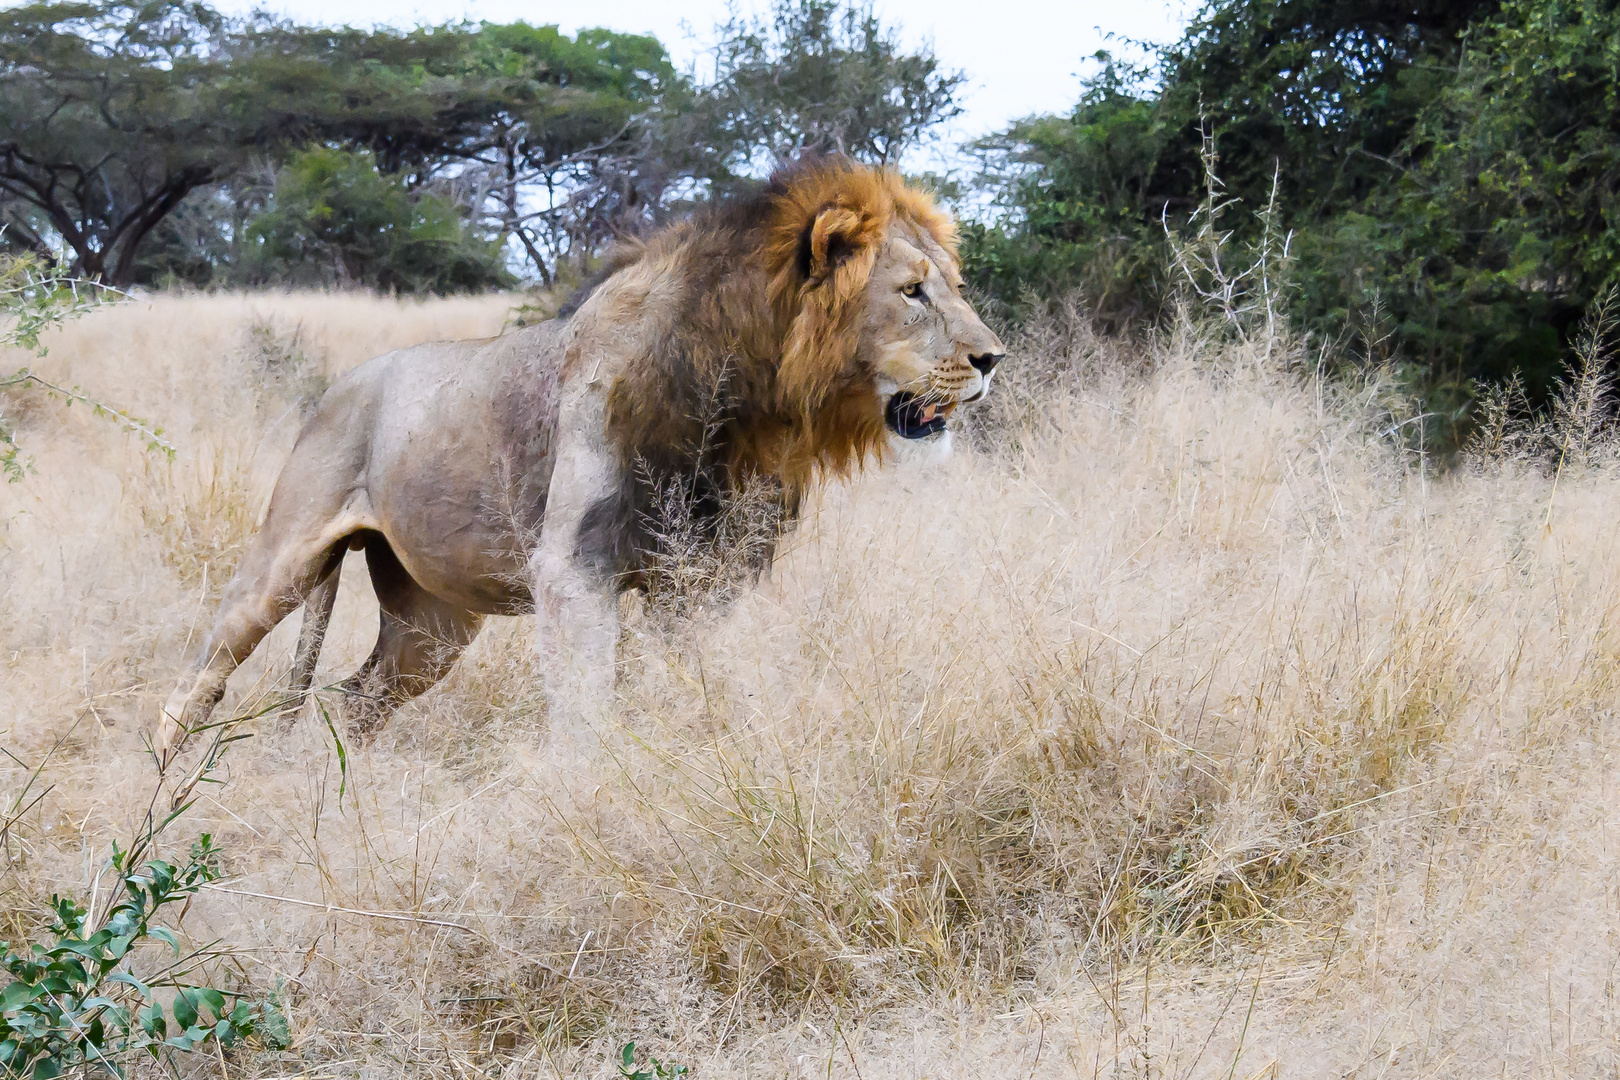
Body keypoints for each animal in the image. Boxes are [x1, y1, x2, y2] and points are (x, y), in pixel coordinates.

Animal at [157, 153, 1004, 761]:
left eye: (954, 286)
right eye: (913, 292)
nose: (993, 358)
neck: (748, 395)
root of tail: (336, 386)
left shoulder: (701, 580)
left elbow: (682, 688)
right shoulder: (575, 567)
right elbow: (585, 710)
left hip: (433, 623)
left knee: (354, 699)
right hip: (284, 560)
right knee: (201, 674)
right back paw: (162, 788)